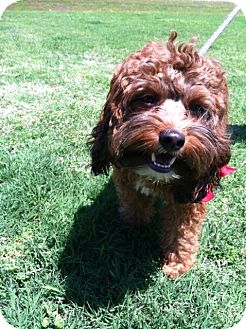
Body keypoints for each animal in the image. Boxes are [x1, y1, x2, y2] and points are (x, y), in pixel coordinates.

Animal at [90, 32, 233, 276]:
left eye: (197, 108)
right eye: (147, 98)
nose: (173, 139)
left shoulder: (191, 196)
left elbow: (182, 230)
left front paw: (177, 263)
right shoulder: (127, 181)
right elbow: (134, 206)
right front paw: (132, 230)